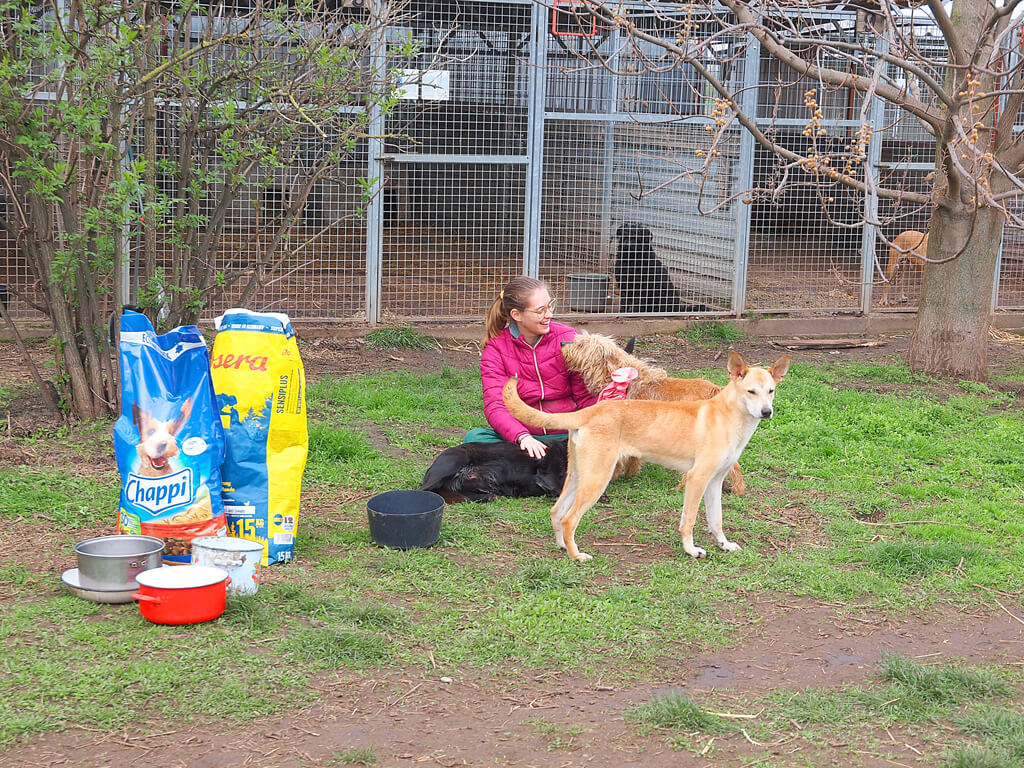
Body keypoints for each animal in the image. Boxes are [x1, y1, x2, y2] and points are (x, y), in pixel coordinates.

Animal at [503, 351, 790, 561]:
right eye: (751, 391)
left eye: (771, 391)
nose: (767, 412)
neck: (727, 416)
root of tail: (590, 412)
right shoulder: (697, 479)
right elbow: (689, 520)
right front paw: (691, 550)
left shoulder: (715, 482)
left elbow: (716, 520)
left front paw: (724, 544)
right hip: (596, 480)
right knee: (569, 519)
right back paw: (577, 556)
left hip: (577, 477)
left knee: (556, 512)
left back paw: (563, 547)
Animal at [560, 331, 744, 495]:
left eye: (581, 344)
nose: (562, 343)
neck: (622, 378)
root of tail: (715, 390)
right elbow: (633, 457)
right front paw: (630, 473)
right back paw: (738, 489)